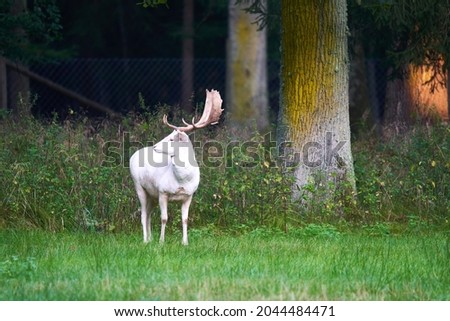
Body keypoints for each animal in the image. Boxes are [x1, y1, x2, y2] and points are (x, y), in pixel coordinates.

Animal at [129, 89, 222, 244]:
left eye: (172, 139)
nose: (155, 146)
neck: (181, 181)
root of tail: (133, 155)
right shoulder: (162, 192)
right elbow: (164, 218)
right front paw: (161, 242)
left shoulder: (189, 195)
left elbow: (185, 219)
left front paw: (185, 242)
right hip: (139, 186)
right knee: (143, 214)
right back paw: (145, 240)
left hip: (152, 194)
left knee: (148, 214)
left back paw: (150, 238)